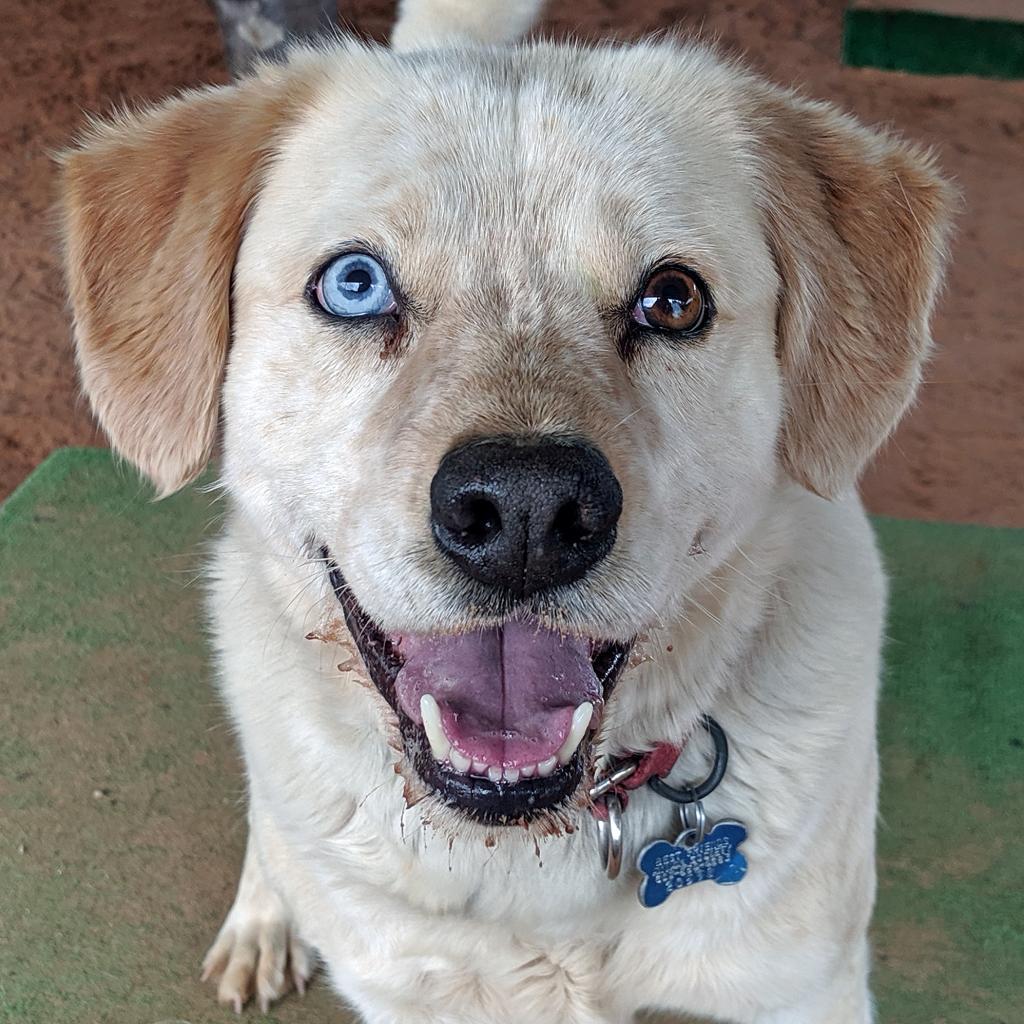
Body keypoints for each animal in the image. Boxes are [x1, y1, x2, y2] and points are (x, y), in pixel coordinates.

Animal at [58, 2, 950, 1024]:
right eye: (354, 284)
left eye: (673, 300)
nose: (528, 511)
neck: (537, 851)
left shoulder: (802, 987)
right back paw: (265, 916)